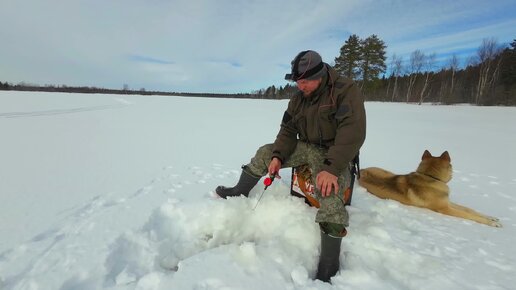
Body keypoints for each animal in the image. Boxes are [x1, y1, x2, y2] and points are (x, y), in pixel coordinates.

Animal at [358, 151, 500, 228]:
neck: (431, 177)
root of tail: (361, 170)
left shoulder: (447, 202)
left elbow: (469, 209)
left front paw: (493, 218)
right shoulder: (445, 208)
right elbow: (468, 215)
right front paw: (491, 223)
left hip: (387, 172)